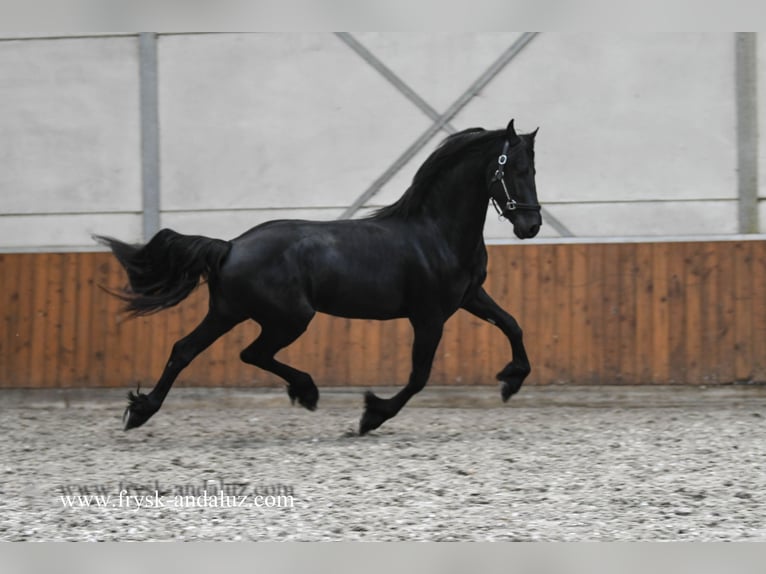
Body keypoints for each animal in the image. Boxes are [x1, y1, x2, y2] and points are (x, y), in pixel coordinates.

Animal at [96, 118, 542, 435]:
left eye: (533, 170)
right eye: (513, 169)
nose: (531, 225)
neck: (436, 233)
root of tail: (231, 246)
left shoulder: (469, 297)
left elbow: (513, 325)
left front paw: (511, 380)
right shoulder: (429, 315)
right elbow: (419, 376)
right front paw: (371, 416)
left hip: (229, 312)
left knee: (185, 350)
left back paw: (141, 411)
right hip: (288, 317)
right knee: (250, 353)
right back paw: (306, 390)